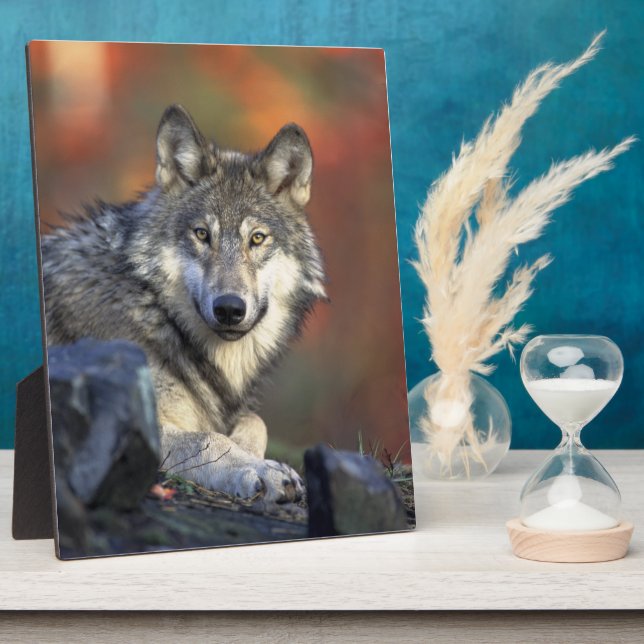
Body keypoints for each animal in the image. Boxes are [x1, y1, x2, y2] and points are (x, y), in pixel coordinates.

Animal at [41, 104, 327, 504]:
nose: (229, 308)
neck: (155, 311)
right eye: (202, 235)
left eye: (257, 239)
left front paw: (254, 455)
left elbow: (255, 421)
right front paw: (260, 470)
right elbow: (208, 439)